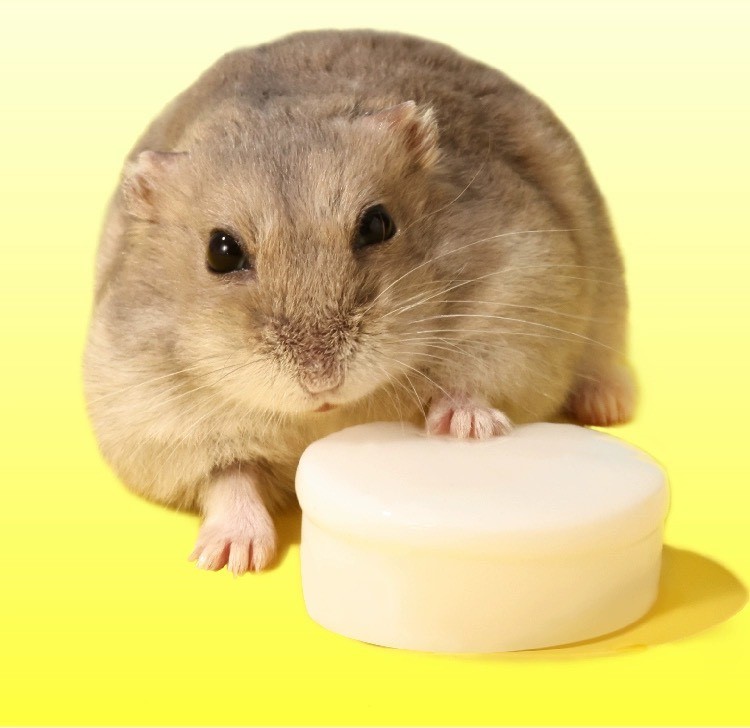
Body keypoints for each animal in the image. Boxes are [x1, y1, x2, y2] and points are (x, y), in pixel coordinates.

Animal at [83, 30, 636, 575]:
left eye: (377, 224)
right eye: (220, 252)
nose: (322, 382)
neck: (328, 417)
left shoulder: (521, 300)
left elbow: (472, 382)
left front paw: (466, 429)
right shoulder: (153, 417)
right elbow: (228, 477)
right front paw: (229, 560)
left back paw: (608, 406)